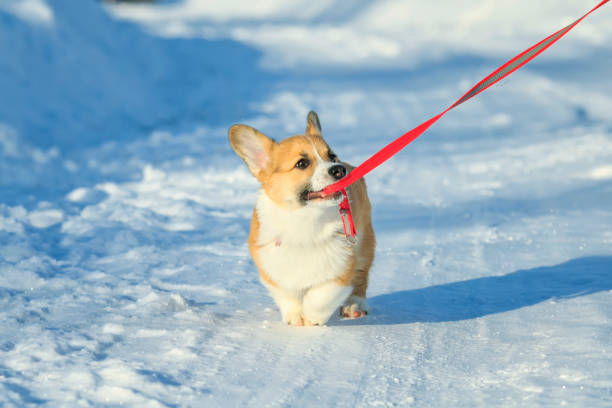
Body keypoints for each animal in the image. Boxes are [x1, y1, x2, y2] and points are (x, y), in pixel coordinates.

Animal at [228, 111, 376, 326]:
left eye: (332, 156)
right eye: (302, 163)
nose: (339, 169)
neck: (305, 218)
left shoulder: (343, 263)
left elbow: (323, 295)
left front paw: (312, 316)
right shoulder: (270, 266)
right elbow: (286, 293)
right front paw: (296, 316)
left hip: (364, 242)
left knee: (361, 275)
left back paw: (355, 305)